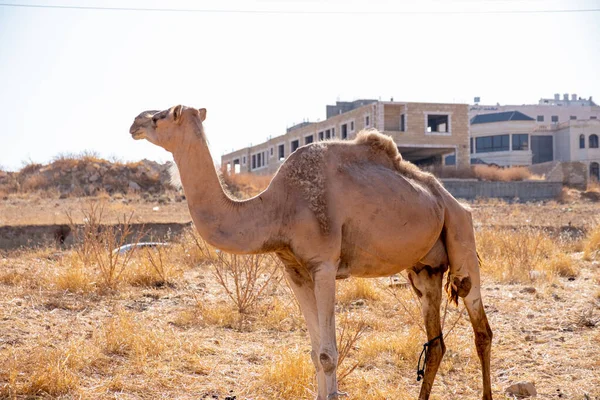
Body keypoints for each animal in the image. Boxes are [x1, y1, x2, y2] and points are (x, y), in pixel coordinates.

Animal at [130, 105, 492, 400]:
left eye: (162, 115)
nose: (135, 122)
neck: (278, 208)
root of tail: (447, 197)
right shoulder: (294, 270)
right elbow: (315, 352)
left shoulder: (324, 265)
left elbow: (328, 355)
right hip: (423, 268)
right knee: (437, 343)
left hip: (461, 234)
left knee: (480, 329)